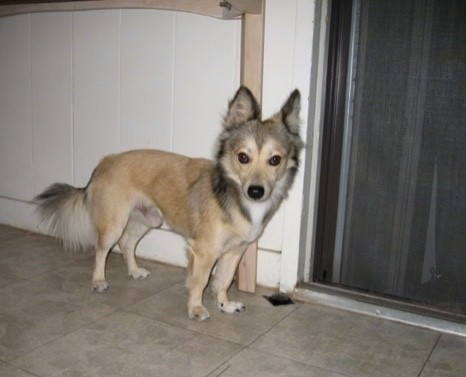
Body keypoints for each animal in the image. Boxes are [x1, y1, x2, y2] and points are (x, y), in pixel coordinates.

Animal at [34, 86, 304, 318]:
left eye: (275, 160)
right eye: (243, 157)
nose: (256, 191)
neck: (233, 194)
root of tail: (105, 162)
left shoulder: (235, 251)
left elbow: (223, 281)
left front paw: (224, 305)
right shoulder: (204, 251)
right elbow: (200, 281)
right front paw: (195, 308)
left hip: (149, 219)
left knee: (127, 243)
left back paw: (134, 271)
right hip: (114, 224)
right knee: (102, 249)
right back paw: (99, 280)